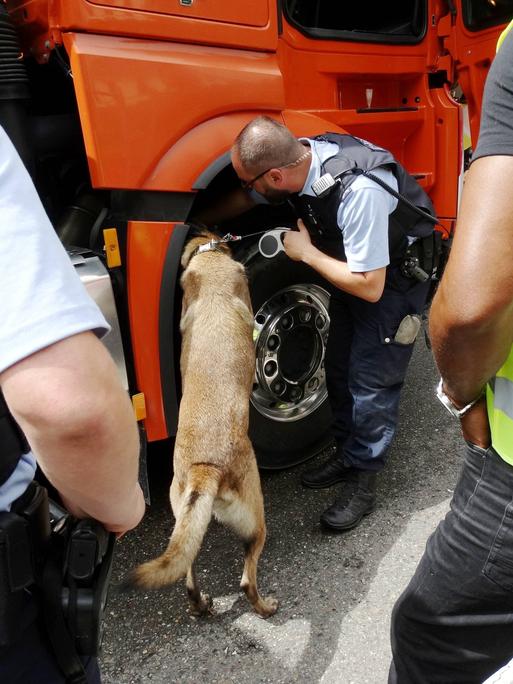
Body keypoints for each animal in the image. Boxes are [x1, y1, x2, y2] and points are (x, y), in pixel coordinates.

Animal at [130, 230, 278, 620]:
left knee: (186, 571)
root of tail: (204, 469)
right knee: (246, 579)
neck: (209, 260)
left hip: (184, 522)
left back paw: (200, 605)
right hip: (255, 518)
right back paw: (265, 606)